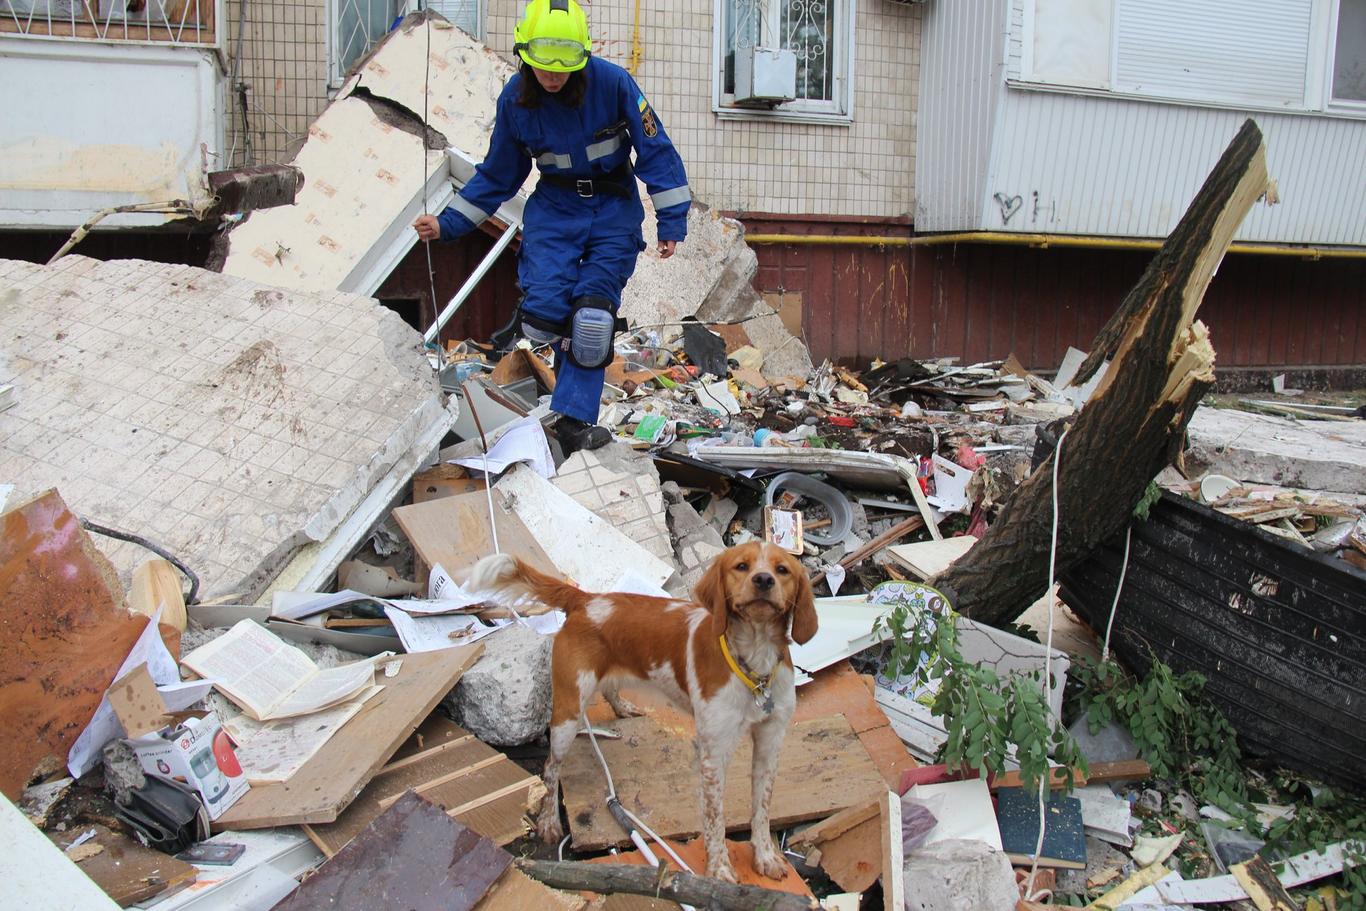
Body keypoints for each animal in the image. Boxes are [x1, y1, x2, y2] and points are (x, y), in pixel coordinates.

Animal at [469, 540, 814, 885]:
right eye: (741, 566)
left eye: (782, 569)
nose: (764, 580)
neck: (755, 664)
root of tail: (586, 600)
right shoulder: (714, 753)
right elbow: (715, 819)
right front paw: (719, 871)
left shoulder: (770, 742)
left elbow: (762, 808)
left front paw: (765, 856)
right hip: (568, 713)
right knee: (551, 768)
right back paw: (549, 821)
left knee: (609, 690)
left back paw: (623, 708)